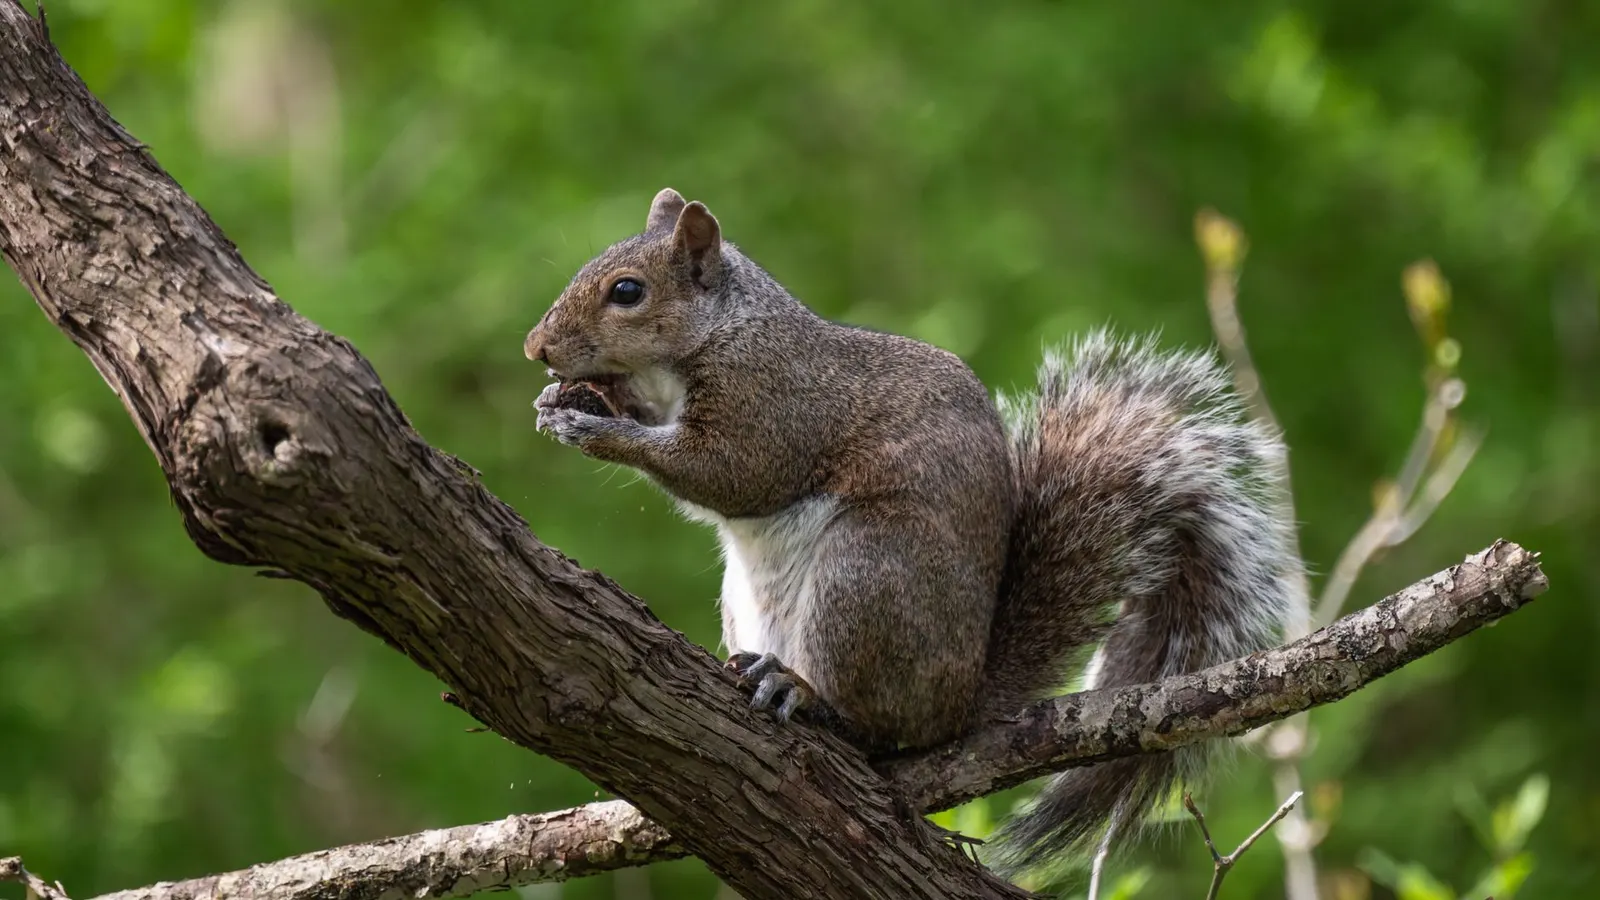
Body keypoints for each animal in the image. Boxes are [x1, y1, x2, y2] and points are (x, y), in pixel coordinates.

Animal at [523, 188, 1302, 876]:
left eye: (628, 292)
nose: (536, 348)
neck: (721, 332)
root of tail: (961, 706)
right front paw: (574, 399)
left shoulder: (775, 404)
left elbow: (730, 474)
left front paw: (597, 429)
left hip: (867, 576)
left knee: (878, 729)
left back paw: (804, 694)